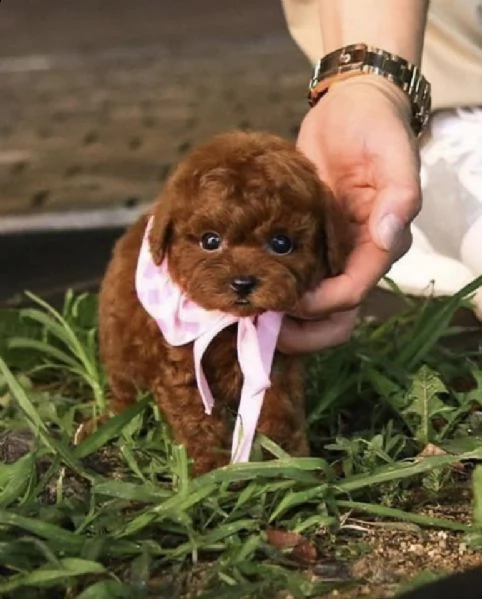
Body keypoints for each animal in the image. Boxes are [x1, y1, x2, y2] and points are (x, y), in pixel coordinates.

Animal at [99, 132, 346, 478]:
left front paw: (289, 465)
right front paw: (212, 471)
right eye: (210, 241)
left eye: (281, 243)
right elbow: (197, 420)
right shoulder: (181, 368)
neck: (232, 322)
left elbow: (279, 409)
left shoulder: (278, 366)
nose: (243, 283)